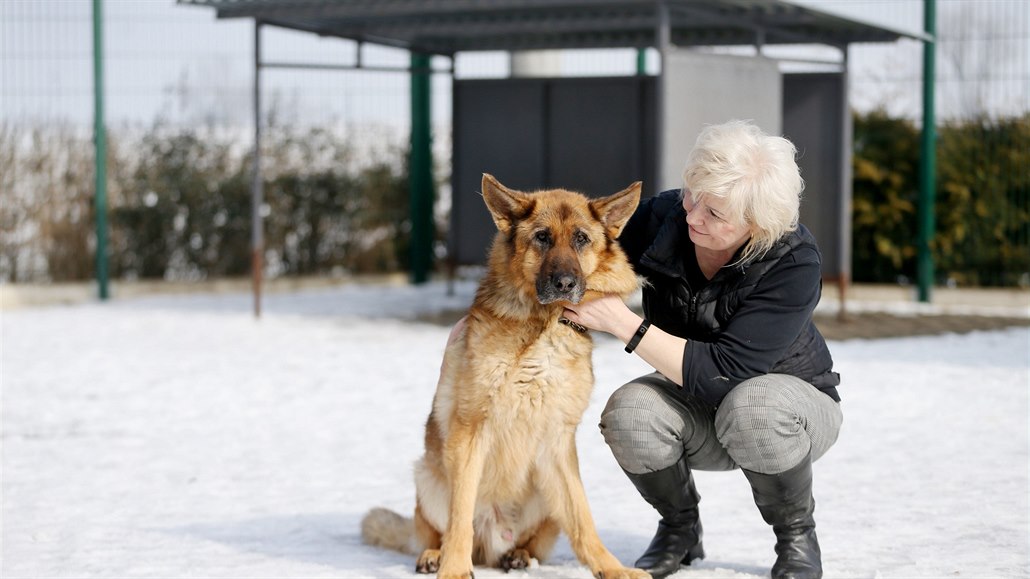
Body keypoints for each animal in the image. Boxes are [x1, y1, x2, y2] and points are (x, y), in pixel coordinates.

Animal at [362, 173, 646, 576]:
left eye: (581, 239)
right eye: (542, 237)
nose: (564, 283)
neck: (543, 324)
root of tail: (494, 539)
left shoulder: (558, 444)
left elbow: (583, 521)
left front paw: (612, 568)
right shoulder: (469, 435)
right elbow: (460, 517)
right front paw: (454, 568)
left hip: (545, 496)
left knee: (537, 539)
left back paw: (519, 555)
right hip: (427, 477)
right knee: (437, 530)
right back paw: (434, 555)